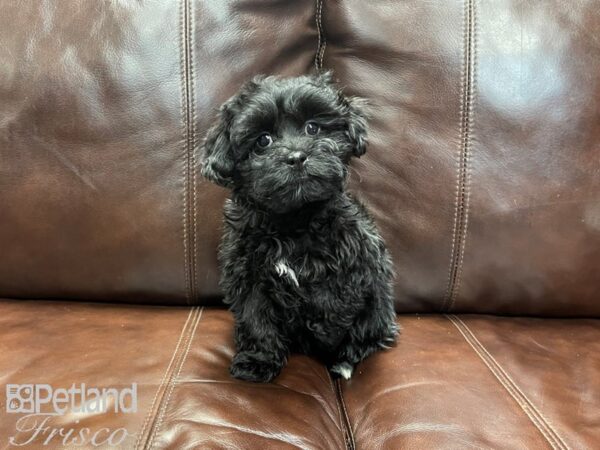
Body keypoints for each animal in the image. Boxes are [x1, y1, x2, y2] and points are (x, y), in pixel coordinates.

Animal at [202, 72, 398, 382]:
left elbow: (333, 306)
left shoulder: (354, 266)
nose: (296, 156)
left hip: (378, 308)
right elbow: (256, 317)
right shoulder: (249, 275)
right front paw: (259, 360)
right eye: (263, 141)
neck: (293, 220)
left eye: (313, 128)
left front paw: (329, 346)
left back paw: (346, 359)